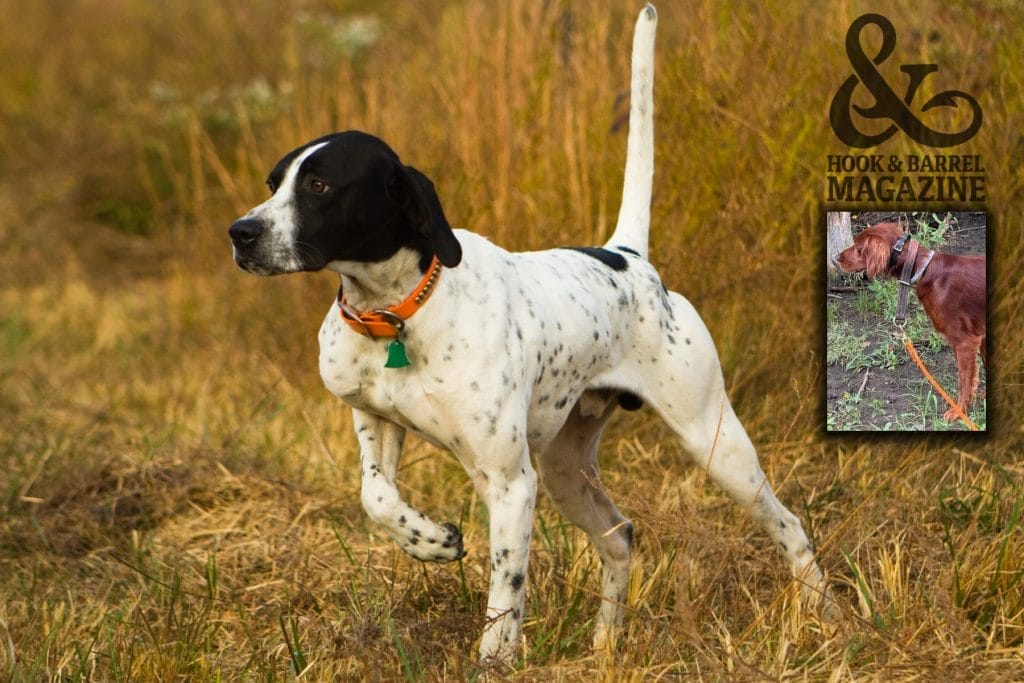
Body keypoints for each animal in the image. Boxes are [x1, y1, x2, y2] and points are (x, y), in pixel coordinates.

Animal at [226, 5, 831, 663]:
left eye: (318, 187)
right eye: (273, 184)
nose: (240, 233)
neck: (399, 313)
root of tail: (629, 257)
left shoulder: (512, 484)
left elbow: (506, 591)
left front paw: (494, 659)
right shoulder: (377, 421)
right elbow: (376, 497)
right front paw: (431, 541)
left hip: (715, 445)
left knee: (789, 526)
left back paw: (821, 618)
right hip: (568, 470)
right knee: (620, 536)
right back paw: (605, 645)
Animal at [835, 223, 987, 421]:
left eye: (857, 247)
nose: (835, 258)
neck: (925, 269)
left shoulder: (965, 341)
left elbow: (964, 380)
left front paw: (959, 411)